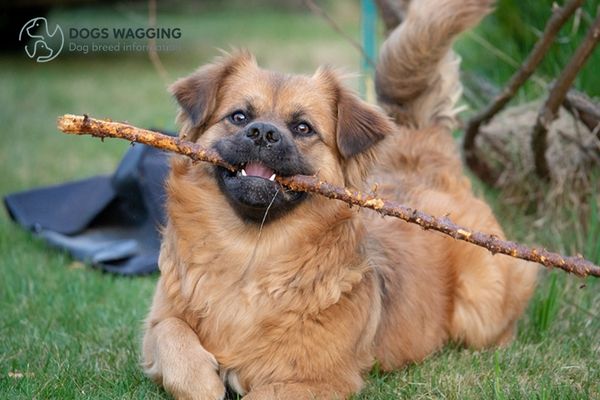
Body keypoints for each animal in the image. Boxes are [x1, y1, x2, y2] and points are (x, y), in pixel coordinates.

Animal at [142, 1, 540, 398]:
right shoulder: (160, 320)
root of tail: (423, 161)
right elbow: (170, 332)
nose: (263, 132)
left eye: (303, 128)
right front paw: (204, 382)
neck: (250, 254)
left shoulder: (318, 380)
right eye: (239, 117)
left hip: (481, 307)